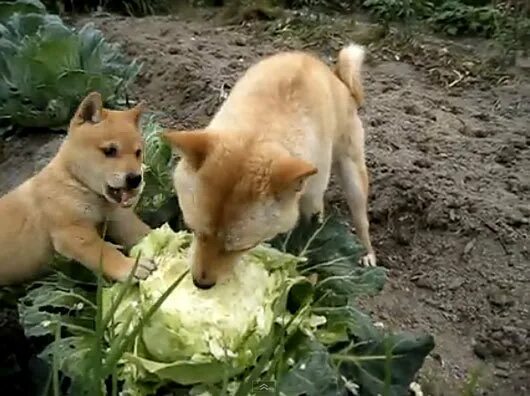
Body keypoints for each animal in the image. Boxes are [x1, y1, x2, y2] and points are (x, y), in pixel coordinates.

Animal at [0, 93, 157, 284]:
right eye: (110, 150)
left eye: (138, 152)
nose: (135, 179)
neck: (76, 182)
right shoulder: (73, 233)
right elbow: (105, 252)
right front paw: (131, 267)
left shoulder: (119, 220)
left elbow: (144, 233)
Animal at [163, 44, 374, 290]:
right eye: (193, 229)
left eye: (241, 248)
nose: (200, 284)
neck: (260, 132)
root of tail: (336, 76)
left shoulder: (311, 203)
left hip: (353, 177)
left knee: (362, 222)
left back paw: (368, 254)